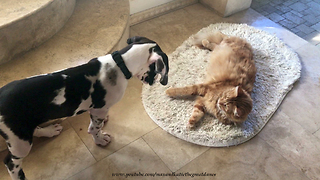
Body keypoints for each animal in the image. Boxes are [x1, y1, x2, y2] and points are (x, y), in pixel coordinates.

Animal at [0, 35, 169, 179]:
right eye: (156, 70)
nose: (154, 82)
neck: (121, 64)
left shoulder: (97, 110)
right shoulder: (99, 109)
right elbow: (94, 128)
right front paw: (100, 139)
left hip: (23, 129)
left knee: (34, 130)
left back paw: (49, 131)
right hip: (19, 142)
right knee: (11, 162)